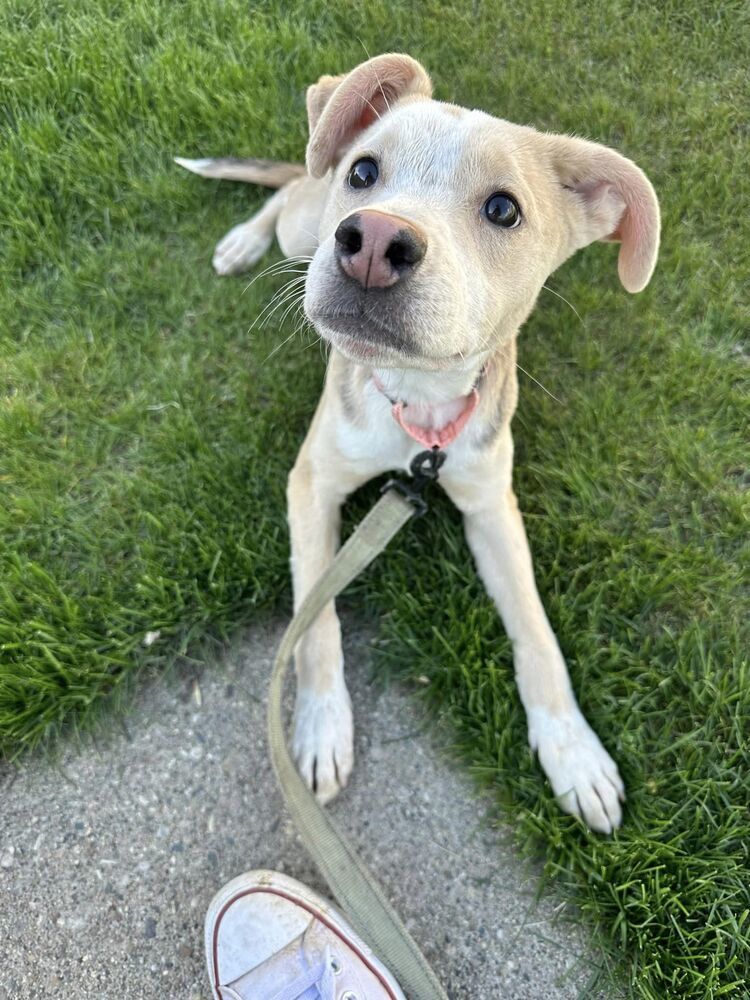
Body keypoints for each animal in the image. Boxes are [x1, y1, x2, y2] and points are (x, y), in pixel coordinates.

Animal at [179, 56, 660, 836]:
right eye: (365, 171)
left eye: (504, 210)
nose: (373, 242)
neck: (416, 405)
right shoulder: (310, 484)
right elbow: (316, 621)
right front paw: (321, 729)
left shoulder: (493, 505)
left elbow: (536, 632)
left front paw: (574, 753)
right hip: (304, 226)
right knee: (284, 190)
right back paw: (242, 241)